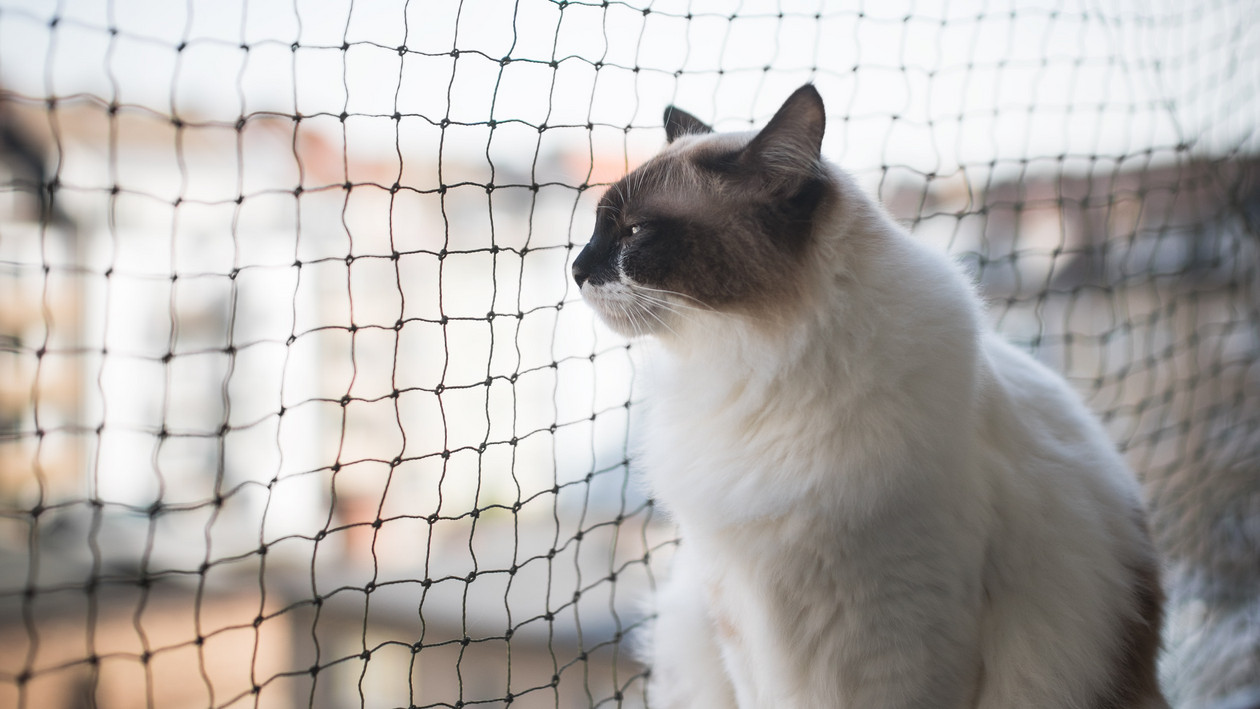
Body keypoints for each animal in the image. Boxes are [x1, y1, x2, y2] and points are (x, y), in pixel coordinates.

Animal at [572, 87, 1169, 709]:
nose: (576, 270)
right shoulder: (741, 622)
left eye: (635, 232)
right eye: (597, 227)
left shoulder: (902, 639)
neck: (756, 369)